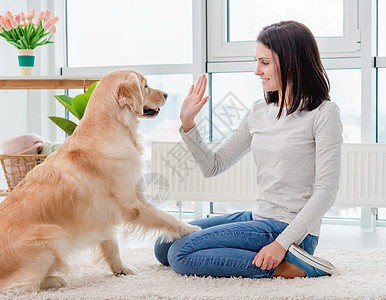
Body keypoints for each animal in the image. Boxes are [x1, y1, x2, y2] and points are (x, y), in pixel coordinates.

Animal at [0, 69, 199, 292]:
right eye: (145, 86)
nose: (165, 94)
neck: (110, 128)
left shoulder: (103, 212)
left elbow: (112, 245)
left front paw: (121, 270)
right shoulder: (133, 204)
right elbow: (166, 217)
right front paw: (189, 228)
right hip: (53, 236)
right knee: (20, 287)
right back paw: (54, 280)